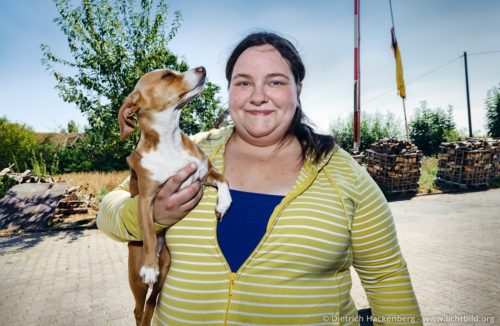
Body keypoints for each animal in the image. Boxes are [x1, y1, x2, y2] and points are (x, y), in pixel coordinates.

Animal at [118, 67, 231, 326]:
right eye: (167, 75)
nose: (202, 68)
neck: (169, 142)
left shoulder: (205, 173)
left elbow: (224, 180)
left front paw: (223, 204)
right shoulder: (146, 200)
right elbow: (149, 232)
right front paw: (150, 266)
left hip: (167, 265)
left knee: (152, 303)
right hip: (136, 279)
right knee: (139, 308)